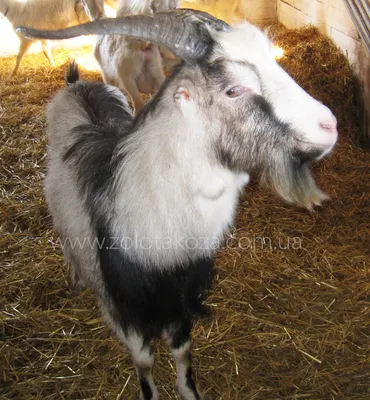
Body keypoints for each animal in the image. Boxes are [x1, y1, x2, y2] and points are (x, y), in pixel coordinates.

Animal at [16, 10, 338, 400]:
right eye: (234, 89)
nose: (329, 126)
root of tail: (76, 85)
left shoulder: (181, 297)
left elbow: (182, 352)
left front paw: (188, 391)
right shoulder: (125, 309)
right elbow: (144, 361)